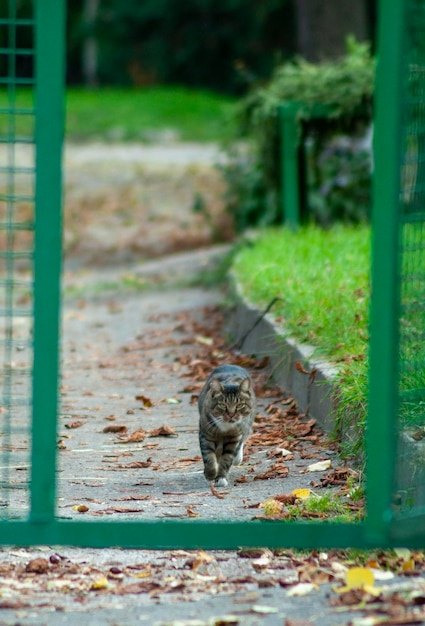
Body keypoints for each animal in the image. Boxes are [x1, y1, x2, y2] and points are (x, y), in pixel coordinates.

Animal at [196, 360, 253, 488]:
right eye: (222, 405)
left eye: (239, 405)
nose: (231, 415)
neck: (225, 427)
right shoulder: (206, 434)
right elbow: (208, 456)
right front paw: (211, 473)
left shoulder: (234, 438)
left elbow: (227, 459)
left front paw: (221, 477)